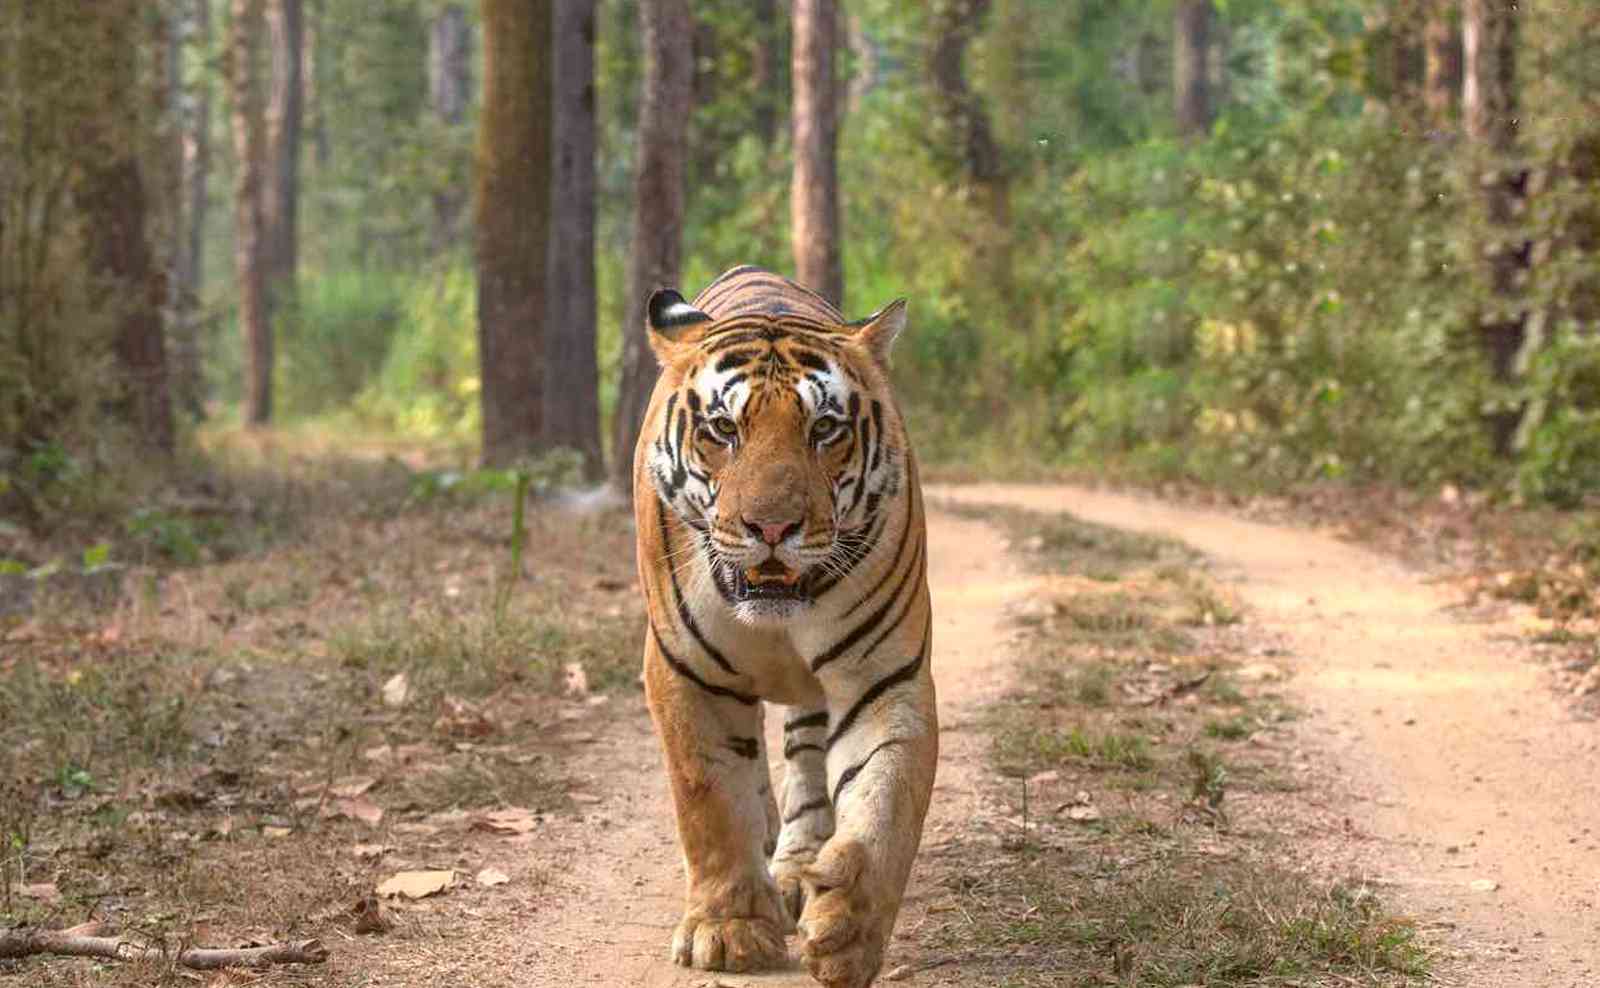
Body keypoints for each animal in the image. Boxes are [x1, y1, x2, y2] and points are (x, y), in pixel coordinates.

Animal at [631, 265, 938, 988]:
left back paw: (800, 865)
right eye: (723, 429)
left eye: (824, 429)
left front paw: (849, 927)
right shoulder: (686, 672)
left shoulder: (885, 677)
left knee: (804, 757)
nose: (771, 527)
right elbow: (711, 800)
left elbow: (886, 801)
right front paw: (728, 931)